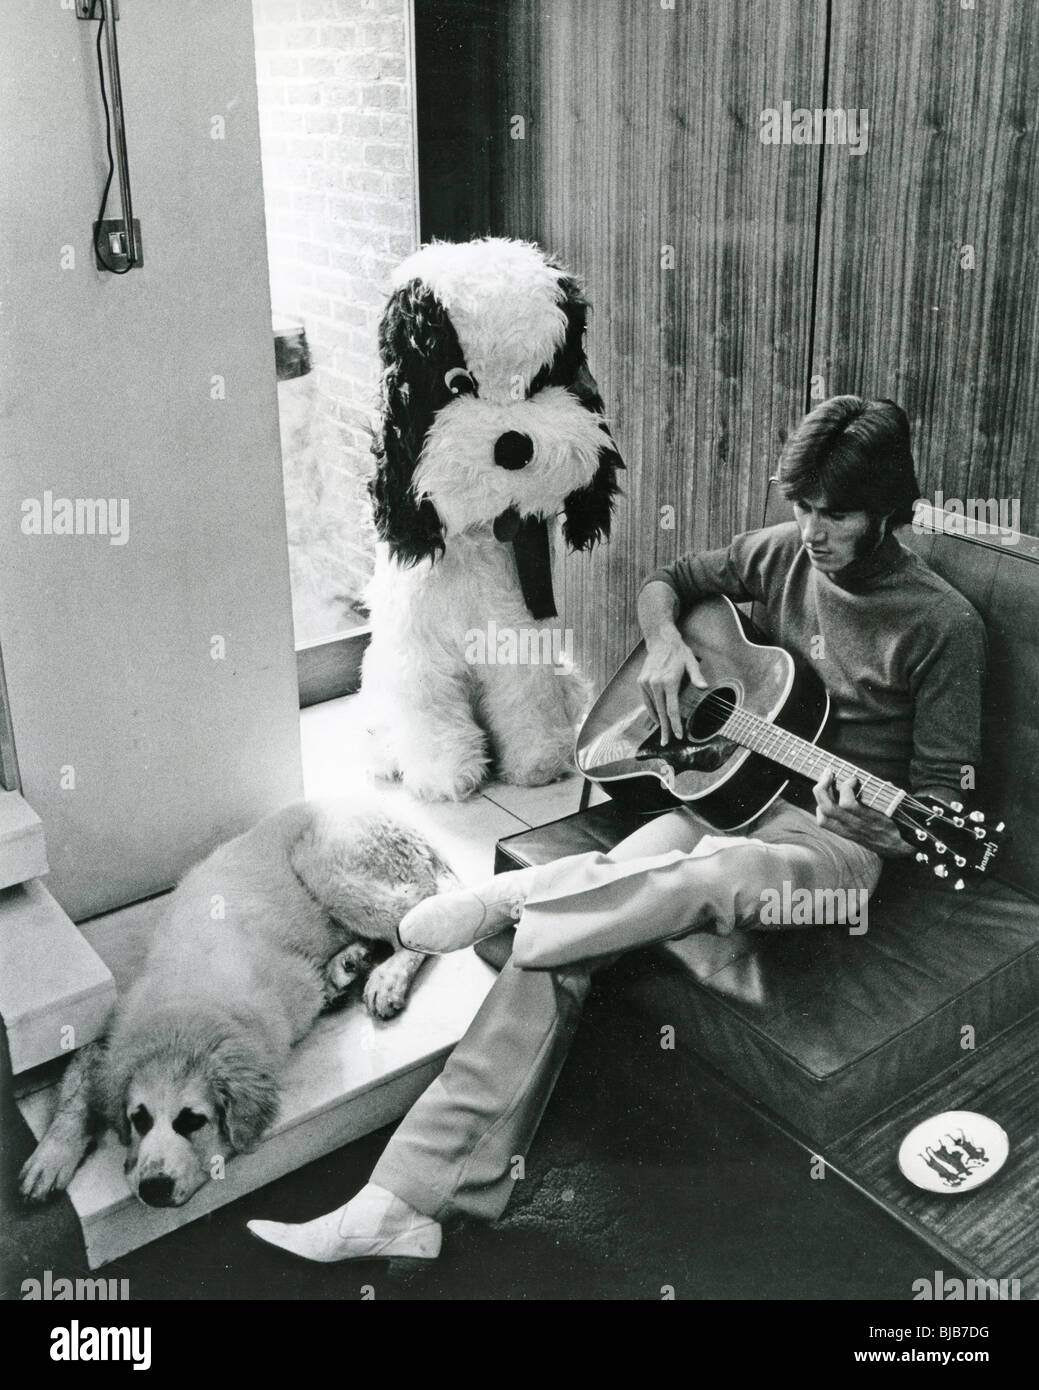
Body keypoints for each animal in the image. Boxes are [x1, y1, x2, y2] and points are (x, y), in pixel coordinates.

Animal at [16, 800, 447, 1212]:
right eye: (139, 1119)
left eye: (193, 1122)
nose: (153, 1189)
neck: (191, 1008)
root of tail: (398, 818)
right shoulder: (113, 1030)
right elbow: (77, 1087)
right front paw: (50, 1157)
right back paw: (353, 960)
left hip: (327, 870)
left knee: (422, 913)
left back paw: (386, 977)